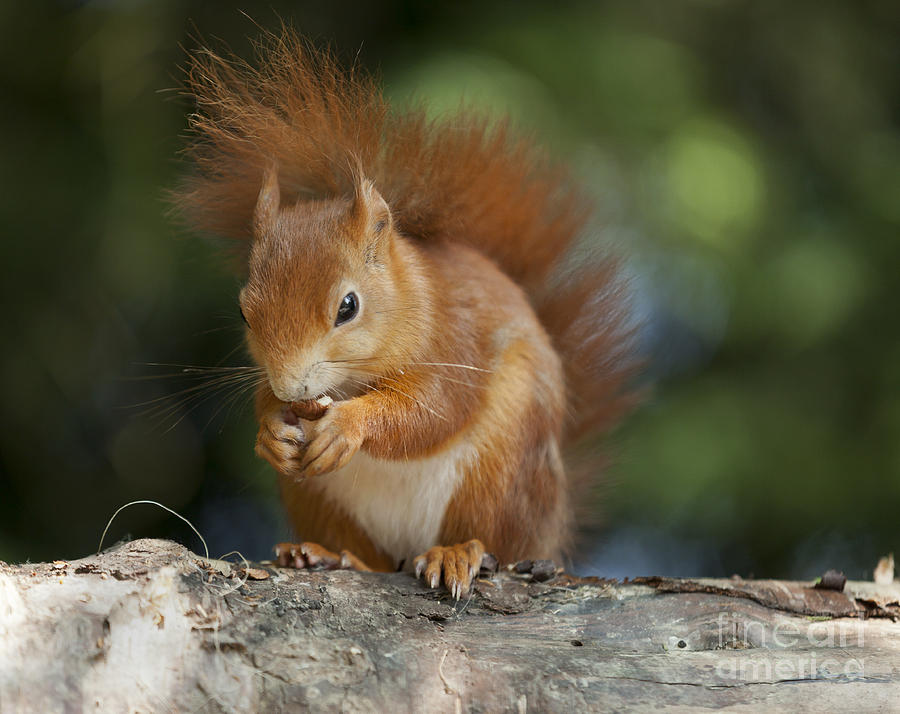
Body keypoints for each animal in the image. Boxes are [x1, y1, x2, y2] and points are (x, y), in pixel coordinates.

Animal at [176, 29, 636, 596]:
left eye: (348, 306)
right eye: (243, 312)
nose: (291, 387)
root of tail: (550, 530)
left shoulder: (456, 340)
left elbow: (432, 410)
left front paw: (349, 424)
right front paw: (270, 431)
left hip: (501, 468)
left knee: (490, 539)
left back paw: (455, 553)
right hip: (318, 497)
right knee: (370, 556)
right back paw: (326, 554)